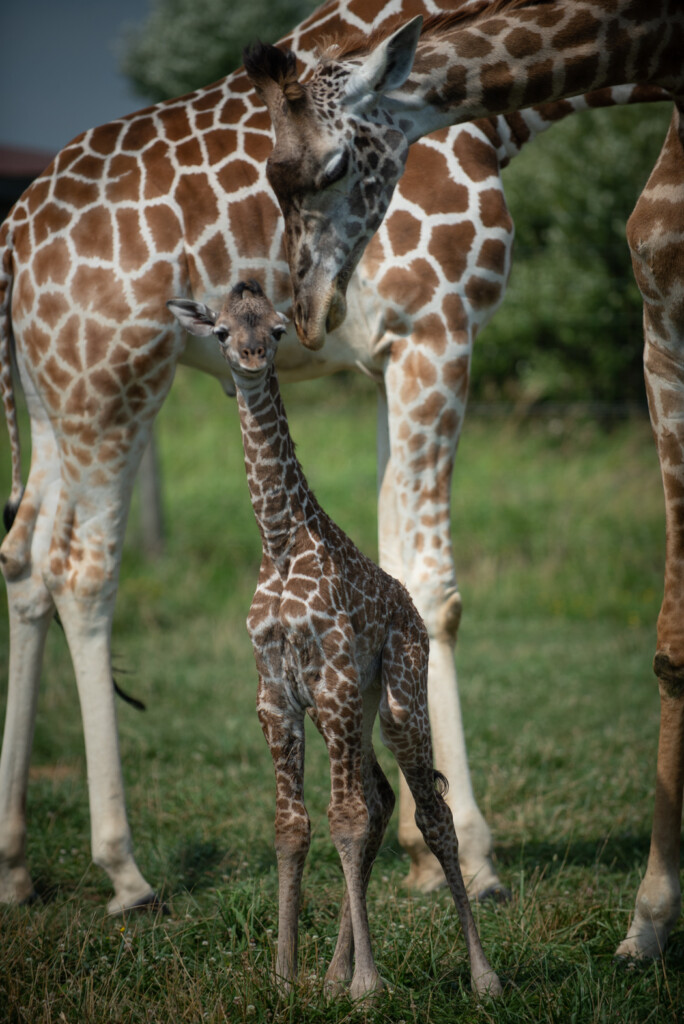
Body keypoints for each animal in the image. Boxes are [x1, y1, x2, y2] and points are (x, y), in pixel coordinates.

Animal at [167, 279, 502, 1000]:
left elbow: (344, 820)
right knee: (379, 799)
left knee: (428, 814)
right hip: (346, 711)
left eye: (276, 329)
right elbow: (293, 828)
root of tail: (410, 610)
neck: (278, 542)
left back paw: (483, 975)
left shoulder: (338, 679)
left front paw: (368, 987)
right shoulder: (277, 694)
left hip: (396, 696)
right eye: (221, 330)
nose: (250, 357)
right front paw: (286, 976)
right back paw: (331, 974)